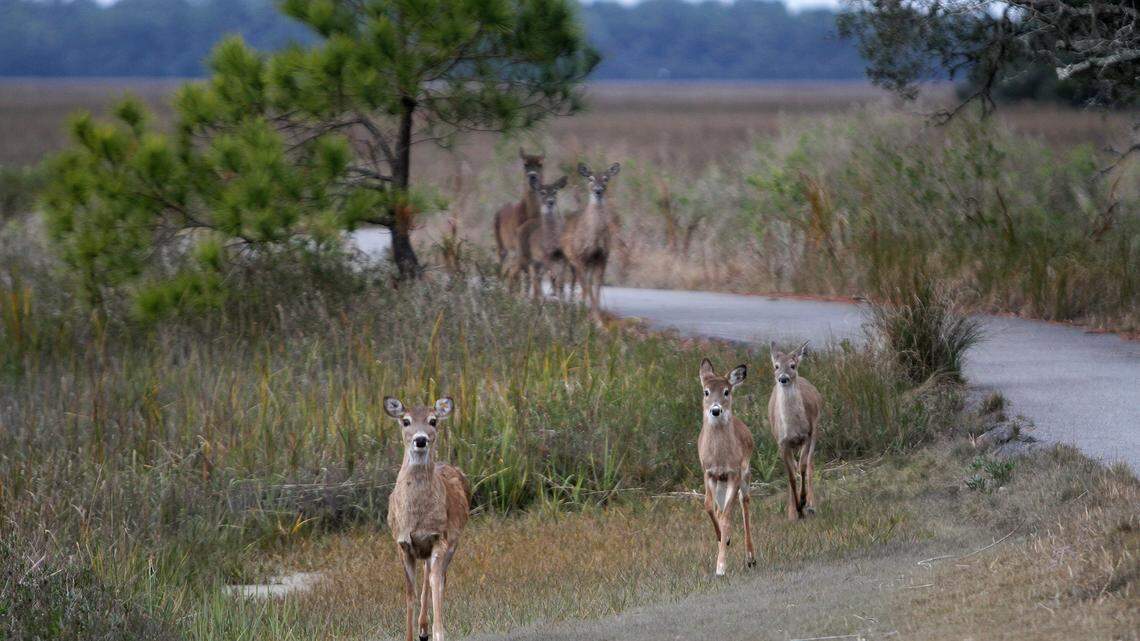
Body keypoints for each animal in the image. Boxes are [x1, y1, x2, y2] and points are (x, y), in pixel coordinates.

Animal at [384, 396, 471, 641]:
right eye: (406, 421)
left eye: (433, 420)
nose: (421, 439)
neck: (416, 519)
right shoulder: (403, 544)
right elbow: (409, 592)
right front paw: (410, 636)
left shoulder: (439, 538)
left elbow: (436, 585)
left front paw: (439, 633)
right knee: (426, 575)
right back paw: (422, 628)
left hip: (452, 543)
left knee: (437, 579)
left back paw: (426, 627)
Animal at [493, 149, 544, 292]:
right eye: (525, 164)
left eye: (540, 164)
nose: (532, 176)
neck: (529, 214)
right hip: (502, 246)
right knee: (504, 270)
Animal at [562, 162, 619, 319]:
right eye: (590, 178)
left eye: (606, 178)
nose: (598, 191)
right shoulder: (579, 255)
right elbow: (587, 285)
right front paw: (589, 315)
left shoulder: (602, 256)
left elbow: (597, 285)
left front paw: (596, 315)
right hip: (568, 258)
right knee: (566, 280)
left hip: (587, 263)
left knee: (581, 281)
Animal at [697, 358, 757, 576]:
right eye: (706, 391)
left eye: (726, 391)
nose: (715, 410)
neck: (720, 457)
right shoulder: (708, 473)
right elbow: (708, 506)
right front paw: (723, 538)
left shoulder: (734, 474)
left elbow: (726, 517)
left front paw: (720, 567)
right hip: (721, 483)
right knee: (720, 506)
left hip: (746, 473)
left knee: (744, 503)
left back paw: (751, 558)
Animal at [767, 341, 822, 521]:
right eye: (776, 366)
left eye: (792, 365)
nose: (783, 378)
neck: (794, 428)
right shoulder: (782, 442)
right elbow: (790, 475)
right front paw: (795, 510)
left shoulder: (808, 435)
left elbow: (803, 467)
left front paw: (804, 501)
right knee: (794, 468)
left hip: (816, 431)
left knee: (809, 464)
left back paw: (812, 505)